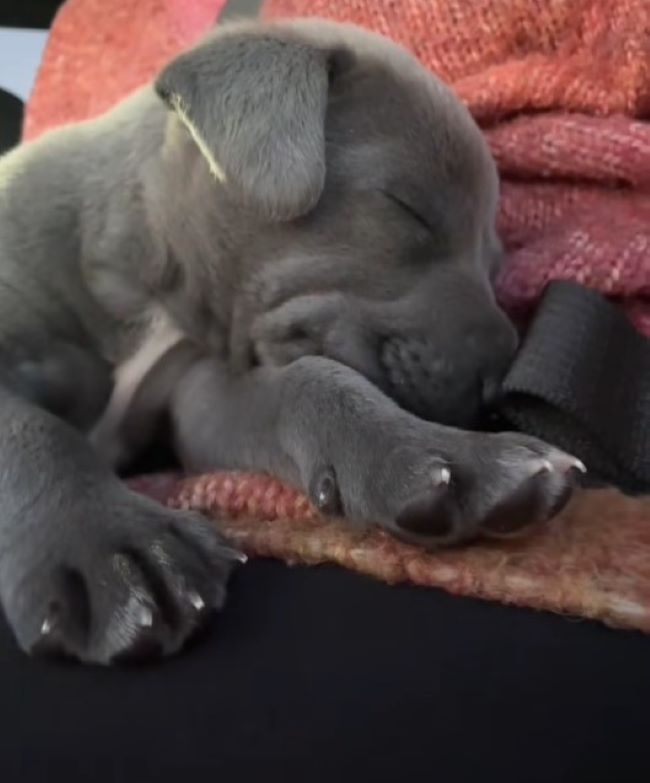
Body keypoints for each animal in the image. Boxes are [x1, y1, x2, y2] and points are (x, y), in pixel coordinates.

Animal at [0, 18, 584, 664]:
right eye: (408, 209)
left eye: (495, 262)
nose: (500, 383)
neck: (153, 293)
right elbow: (32, 429)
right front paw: (106, 541)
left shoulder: (198, 394)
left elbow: (313, 381)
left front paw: (450, 457)